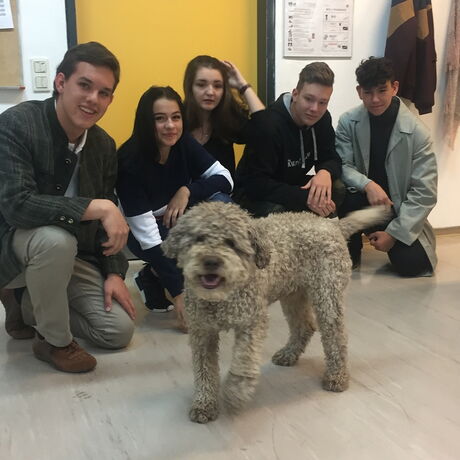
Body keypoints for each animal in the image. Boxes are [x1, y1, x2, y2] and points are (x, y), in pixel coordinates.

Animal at [162, 202, 389, 423]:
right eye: (198, 238)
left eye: (231, 242)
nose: (211, 261)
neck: (219, 299)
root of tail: (333, 224)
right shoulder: (201, 332)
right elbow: (204, 370)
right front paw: (204, 403)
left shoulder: (252, 323)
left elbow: (243, 363)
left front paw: (234, 394)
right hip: (293, 295)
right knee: (304, 327)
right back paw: (289, 354)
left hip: (327, 296)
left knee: (336, 337)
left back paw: (337, 376)